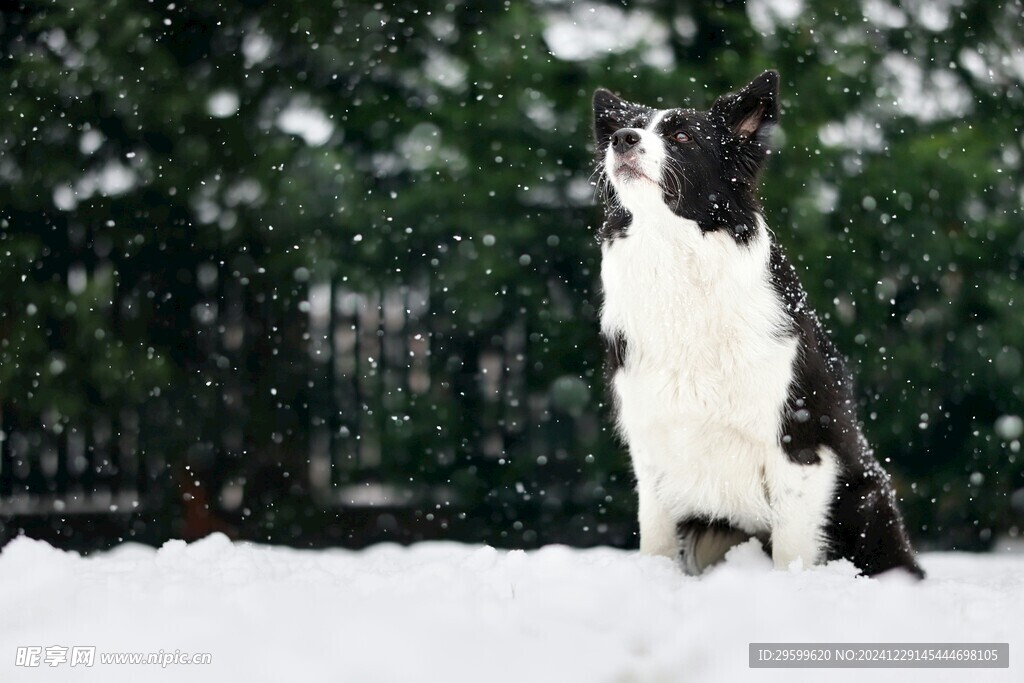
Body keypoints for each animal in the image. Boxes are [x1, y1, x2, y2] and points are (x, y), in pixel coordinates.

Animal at [589, 70, 925, 577]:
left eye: (683, 136)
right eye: (628, 128)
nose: (621, 139)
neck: (677, 260)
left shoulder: (800, 446)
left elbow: (792, 551)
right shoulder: (651, 442)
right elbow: (657, 541)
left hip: (866, 502)